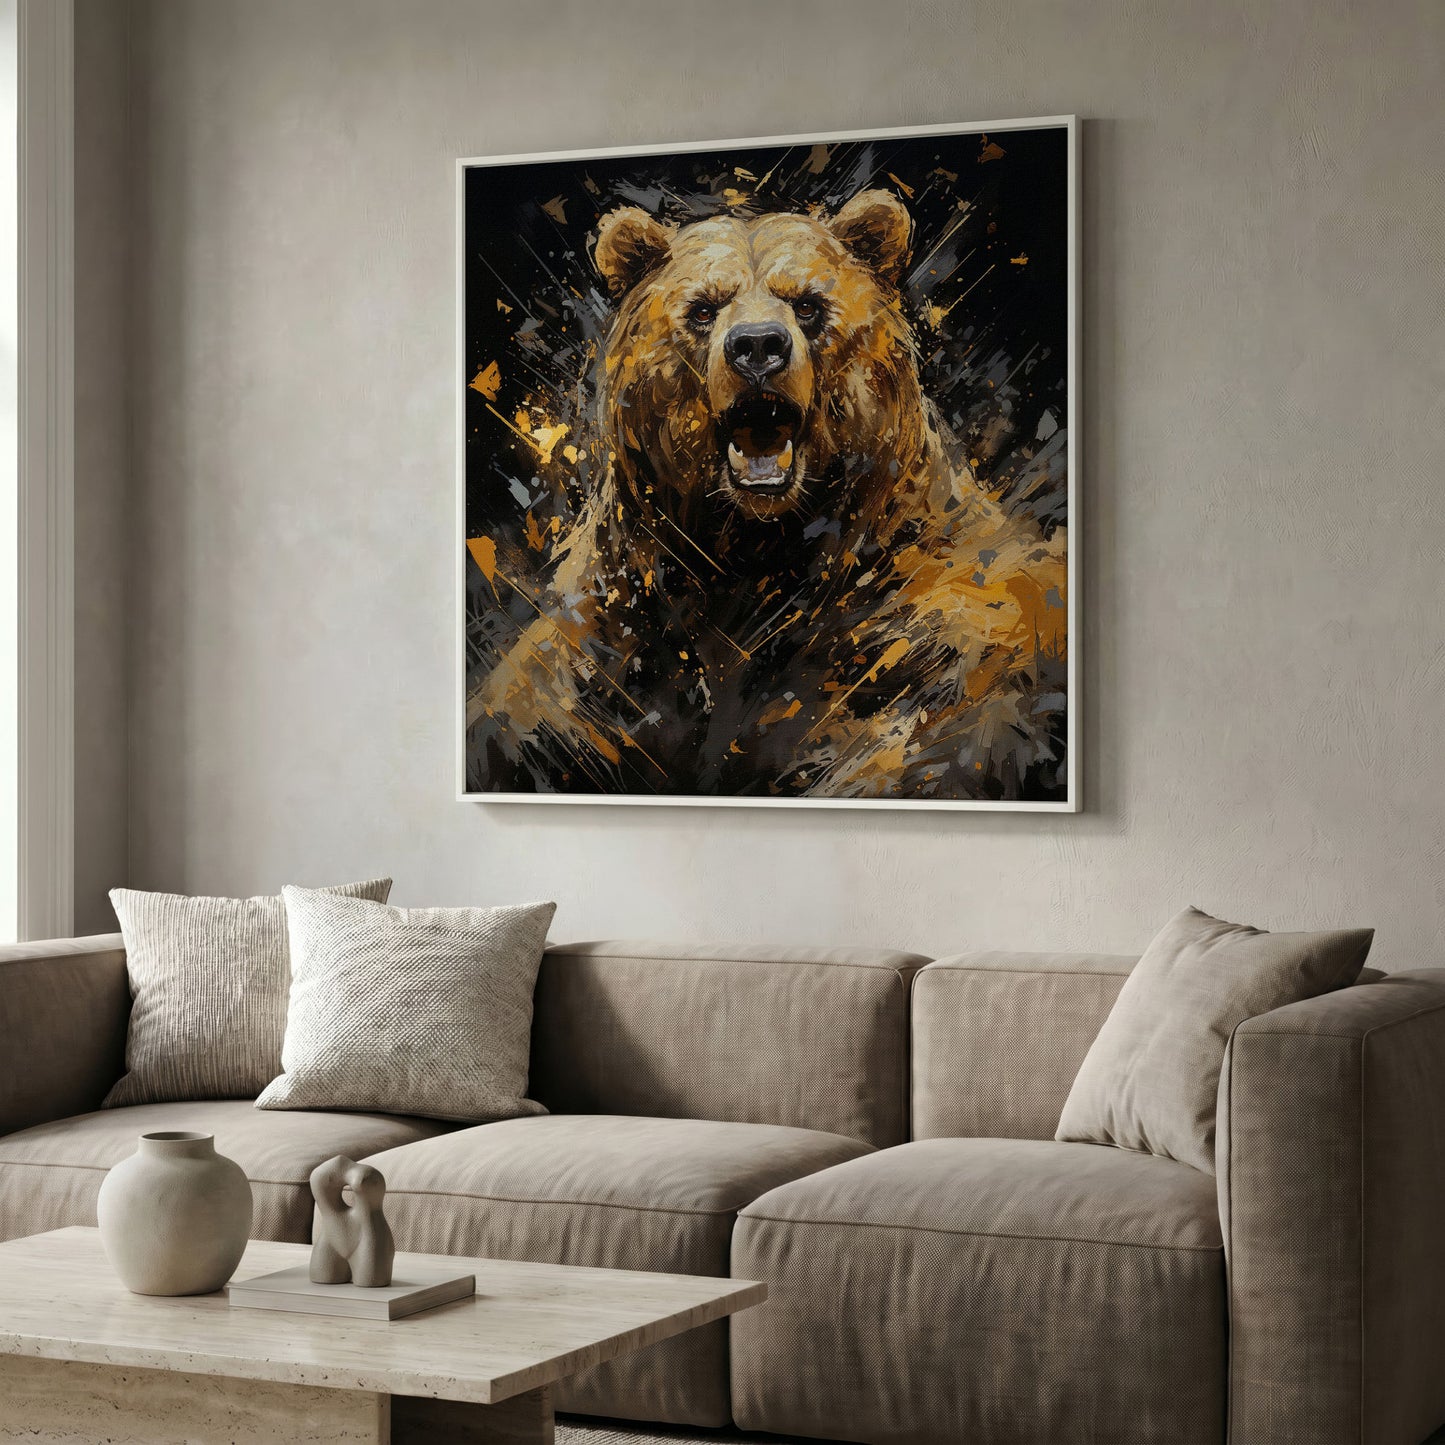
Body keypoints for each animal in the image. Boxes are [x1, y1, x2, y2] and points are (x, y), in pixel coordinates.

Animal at [467, 188, 1067, 801]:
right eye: (703, 308)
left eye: (807, 304)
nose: (758, 346)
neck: (754, 551)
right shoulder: (616, 626)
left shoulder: (920, 629)